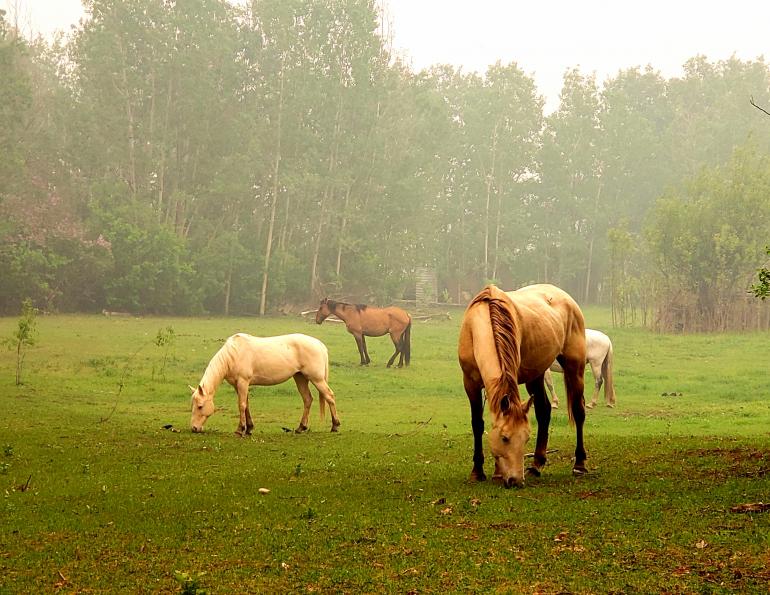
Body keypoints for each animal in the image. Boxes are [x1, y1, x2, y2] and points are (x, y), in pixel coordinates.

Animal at [189, 333, 340, 435]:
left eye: (200, 406)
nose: (194, 428)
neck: (233, 354)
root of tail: (319, 344)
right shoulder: (238, 385)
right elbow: (246, 405)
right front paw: (249, 428)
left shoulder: (243, 382)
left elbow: (241, 405)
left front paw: (240, 430)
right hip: (300, 378)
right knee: (308, 399)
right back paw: (301, 427)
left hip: (317, 379)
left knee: (329, 396)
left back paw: (335, 425)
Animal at [458, 284, 587, 488]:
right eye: (504, 438)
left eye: (526, 438)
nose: (516, 480)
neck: (478, 325)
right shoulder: (470, 383)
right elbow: (477, 424)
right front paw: (478, 472)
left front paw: (496, 473)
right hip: (536, 375)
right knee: (544, 411)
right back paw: (536, 465)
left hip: (575, 367)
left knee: (578, 411)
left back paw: (579, 464)